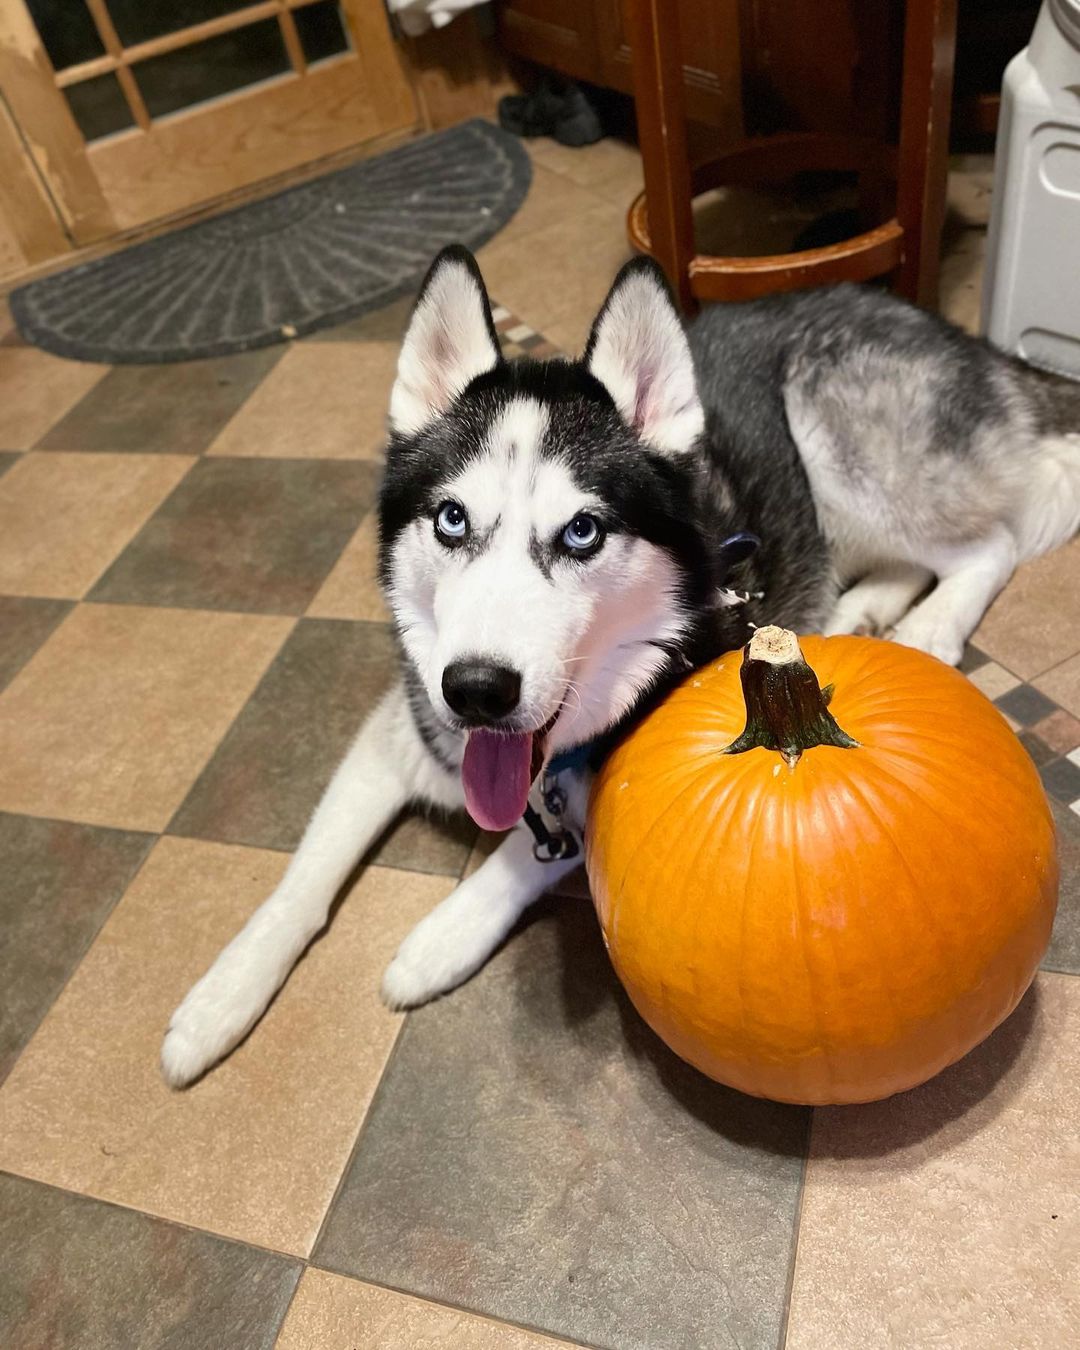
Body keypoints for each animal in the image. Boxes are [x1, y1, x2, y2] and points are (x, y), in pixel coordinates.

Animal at [160, 243, 1080, 1085]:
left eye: (582, 532)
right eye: (451, 520)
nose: (477, 692)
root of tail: (945, 328)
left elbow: (524, 859)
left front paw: (441, 935)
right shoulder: (401, 729)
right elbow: (301, 881)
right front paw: (218, 999)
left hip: (846, 446)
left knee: (988, 542)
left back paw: (928, 625)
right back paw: (867, 606)